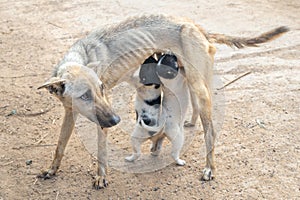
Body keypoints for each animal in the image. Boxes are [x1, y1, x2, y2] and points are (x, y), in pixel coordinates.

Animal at [37, 14, 288, 188]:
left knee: (210, 131)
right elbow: (60, 145)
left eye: (101, 89)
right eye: (84, 96)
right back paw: (180, 130)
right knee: (191, 110)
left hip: (200, 89)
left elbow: (100, 152)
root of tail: (197, 27)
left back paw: (209, 168)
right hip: (191, 80)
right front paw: (51, 171)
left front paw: (101, 178)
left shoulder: (103, 116)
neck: (78, 58)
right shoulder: (70, 112)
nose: (116, 120)